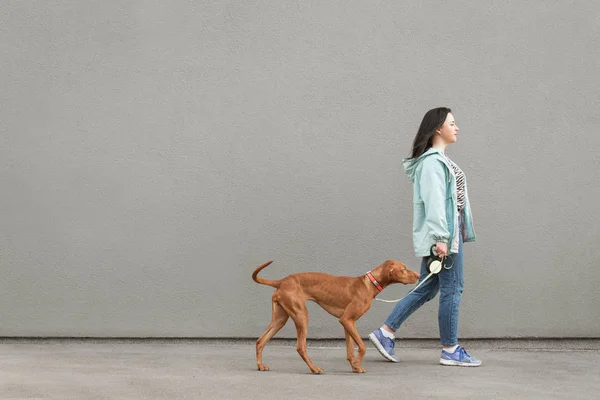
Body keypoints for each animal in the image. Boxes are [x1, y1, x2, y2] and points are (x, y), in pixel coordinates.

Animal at [251, 260, 420, 374]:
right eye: (404, 269)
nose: (419, 275)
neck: (369, 284)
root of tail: (282, 281)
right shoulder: (346, 319)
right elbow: (363, 347)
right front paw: (357, 364)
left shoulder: (348, 322)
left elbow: (350, 351)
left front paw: (355, 366)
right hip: (301, 315)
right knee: (300, 347)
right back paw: (314, 368)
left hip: (280, 319)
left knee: (260, 341)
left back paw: (260, 365)